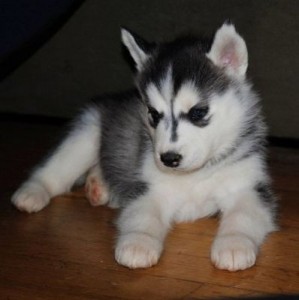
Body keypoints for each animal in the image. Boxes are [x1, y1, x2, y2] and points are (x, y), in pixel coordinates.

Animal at [12, 23, 278, 270]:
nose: (168, 159)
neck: (194, 174)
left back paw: (98, 186)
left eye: (198, 112)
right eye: (153, 114)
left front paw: (234, 245)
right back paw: (32, 193)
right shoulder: (148, 188)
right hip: (86, 133)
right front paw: (137, 244)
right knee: (55, 171)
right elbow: (143, 216)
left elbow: (242, 215)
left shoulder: (249, 188)